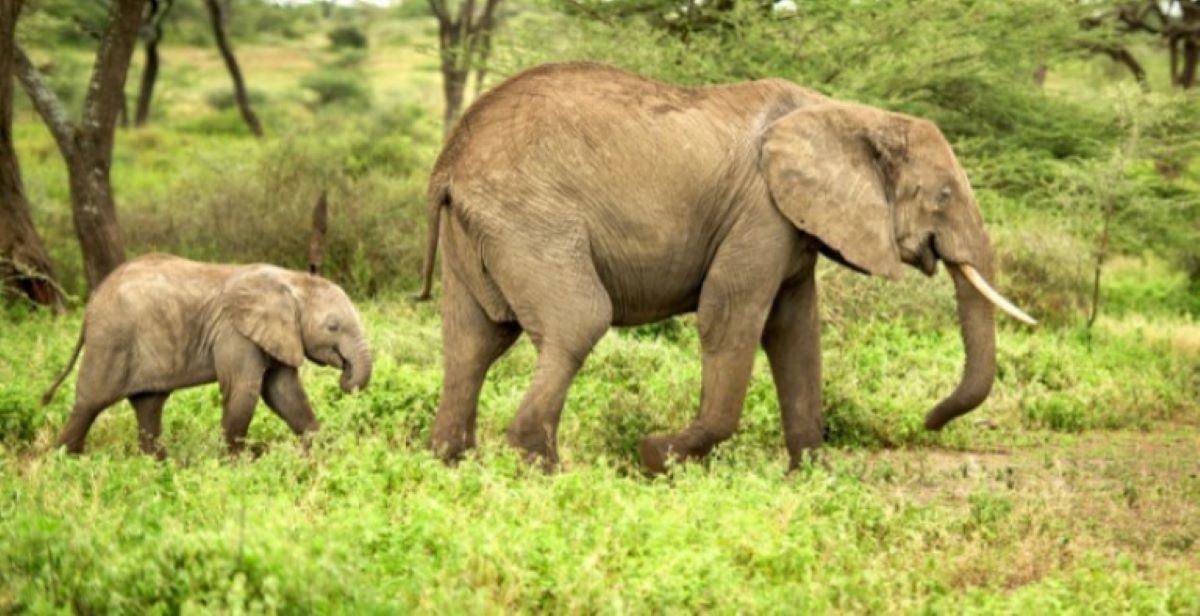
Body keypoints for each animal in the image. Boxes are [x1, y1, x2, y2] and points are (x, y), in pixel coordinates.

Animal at [43, 252, 369, 458]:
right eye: (333, 327)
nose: (346, 377)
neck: (290, 280)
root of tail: (92, 302)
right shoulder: (235, 333)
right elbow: (243, 392)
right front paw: (237, 466)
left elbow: (285, 393)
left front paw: (325, 452)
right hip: (111, 339)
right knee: (89, 403)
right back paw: (65, 463)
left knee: (149, 405)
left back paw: (158, 467)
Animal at [417, 62, 1036, 470]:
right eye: (944, 197)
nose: (927, 420)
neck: (846, 112)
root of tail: (448, 162)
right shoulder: (760, 213)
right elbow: (730, 317)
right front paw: (656, 457)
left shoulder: (793, 226)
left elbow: (795, 332)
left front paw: (814, 478)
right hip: (528, 220)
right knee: (577, 320)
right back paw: (539, 467)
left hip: (481, 232)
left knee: (472, 340)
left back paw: (451, 462)